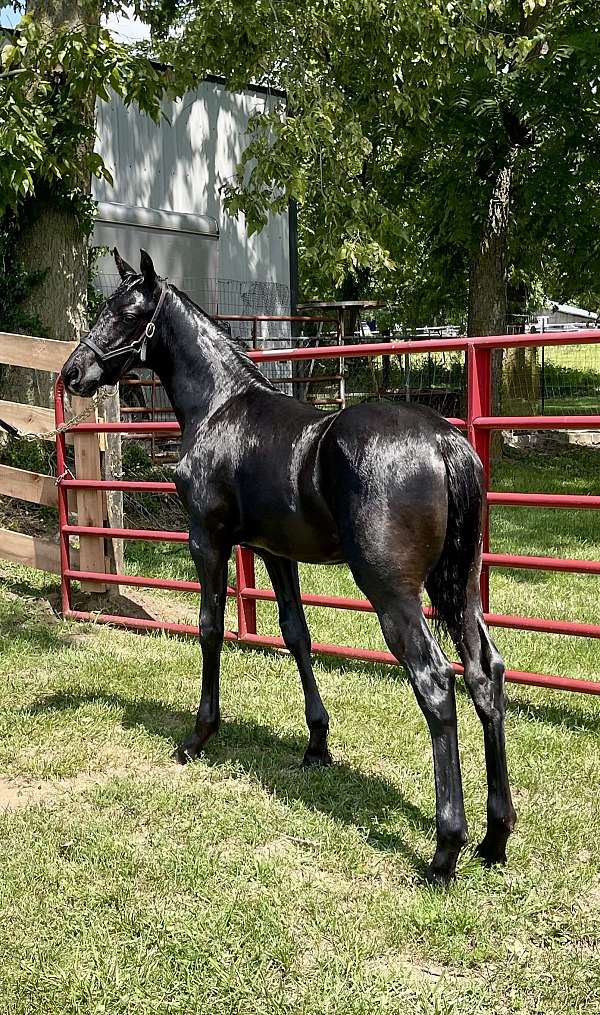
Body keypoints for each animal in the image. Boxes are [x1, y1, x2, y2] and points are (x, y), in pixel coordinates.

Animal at [63, 249, 519, 885]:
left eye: (127, 313)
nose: (72, 374)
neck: (220, 407)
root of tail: (443, 443)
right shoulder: (276, 553)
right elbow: (296, 635)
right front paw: (317, 745)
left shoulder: (208, 540)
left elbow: (209, 628)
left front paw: (199, 735)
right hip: (457, 587)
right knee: (485, 674)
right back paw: (494, 838)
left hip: (394, 595)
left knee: (435, 682)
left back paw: (444, 850)